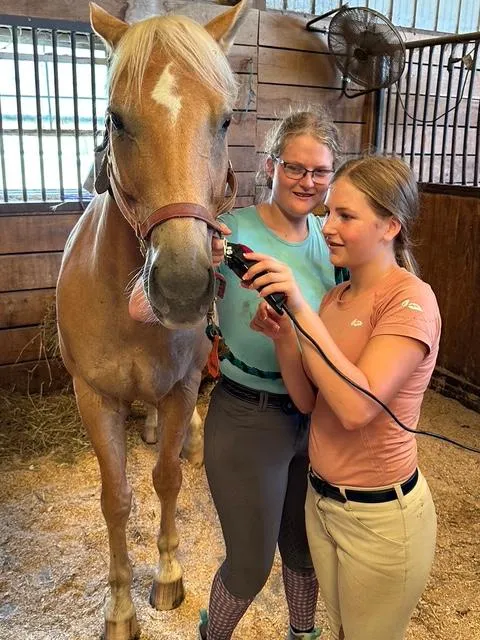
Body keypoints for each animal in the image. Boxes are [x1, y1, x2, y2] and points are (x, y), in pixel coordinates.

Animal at [56, 2, 248, 638]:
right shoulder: (93, 396)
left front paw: (167, 576)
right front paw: (119, 608)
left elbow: (166, 479)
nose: (183, 286)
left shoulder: (183, 386)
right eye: (116, 119)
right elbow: (116, 497)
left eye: (224, 120)